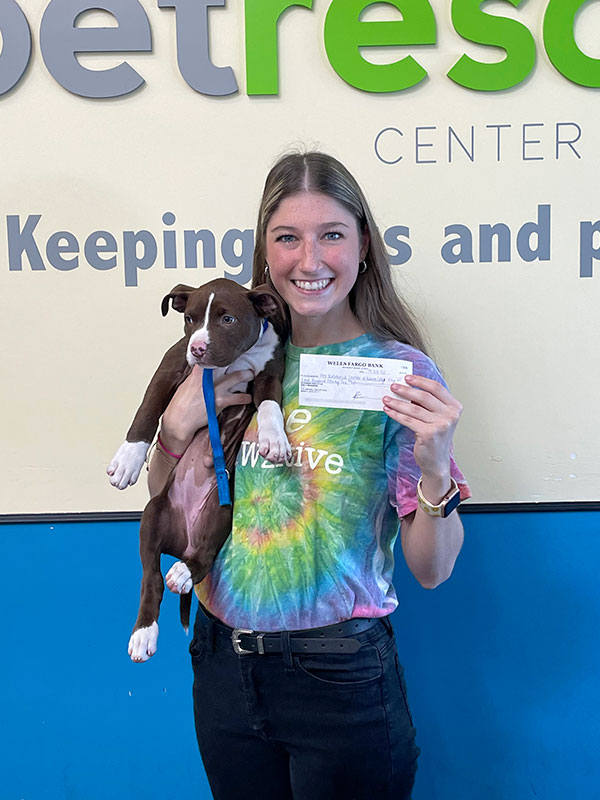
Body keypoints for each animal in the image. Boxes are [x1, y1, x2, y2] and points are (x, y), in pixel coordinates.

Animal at [107, 280, 290, 664]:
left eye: (228, 319)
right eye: (189, 319)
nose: (198, 347)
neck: (231, 362)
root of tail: (183, 542)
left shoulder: (269, 374)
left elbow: (270, 404)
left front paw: (274, 439)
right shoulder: (170, 368)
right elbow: (146, 412)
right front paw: (128, 459)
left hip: (222, 511)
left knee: (202, 557)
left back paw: (183, 572)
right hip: (153, 515)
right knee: (152, 580)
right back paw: (143, 634)